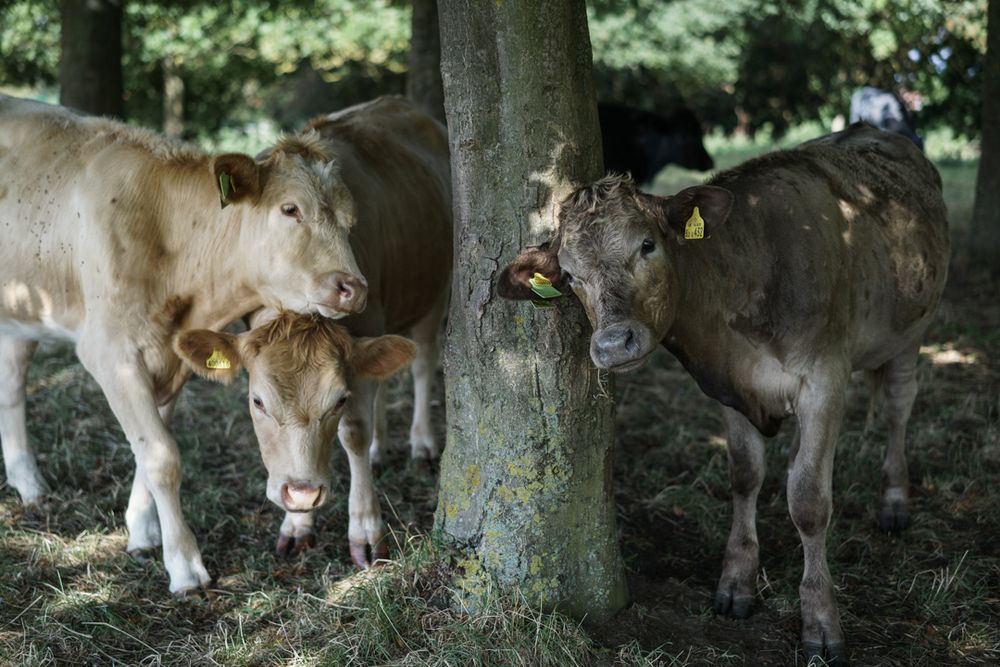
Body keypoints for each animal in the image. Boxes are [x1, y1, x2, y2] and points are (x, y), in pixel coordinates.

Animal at [0, 94, 367, 593]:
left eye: (349, 221)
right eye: (290, 209)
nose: (354, 287)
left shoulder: (170, 357)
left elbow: (152, 441)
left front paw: (142, 530)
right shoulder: (111, 352)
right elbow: (161, 455)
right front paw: (184, 564)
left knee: (12, 386)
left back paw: (30, 484)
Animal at [174, 312, 416, 569]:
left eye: (340, 401)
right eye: (257, 401)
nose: (304, 494)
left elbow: (355, 433)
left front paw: (366, 530)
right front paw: (297, 525)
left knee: (424, 366)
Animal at [497, 124, 950, 665]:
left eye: (647, 244)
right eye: (568, 275)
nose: (611, 344)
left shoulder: (824, 380)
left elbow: (809, 501)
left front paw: (821, 620)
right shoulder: (731, 389)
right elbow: (744, 475)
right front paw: (736, 582)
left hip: (911, 332)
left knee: (899, 409)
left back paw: (895, 502)